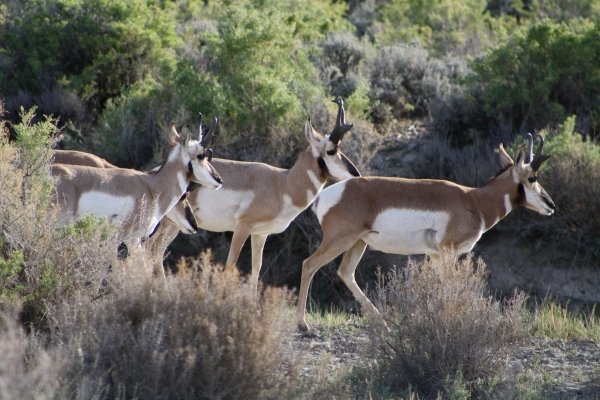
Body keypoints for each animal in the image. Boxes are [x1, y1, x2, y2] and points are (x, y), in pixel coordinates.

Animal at [145, 97, 360, 284]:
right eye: (331, 150)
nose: (356, 173)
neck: (282, 183)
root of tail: (155, 172)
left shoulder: (260, 235)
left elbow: (256, 270)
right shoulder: (242, 228)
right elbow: (230, 267)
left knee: (155, 251)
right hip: (171, 224)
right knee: (152, 249)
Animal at [298, 134, 556, 332]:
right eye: (532, 177)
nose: (551, 205)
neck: (474, 200)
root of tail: (326, 194)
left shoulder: (435, 255)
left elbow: (437, 285)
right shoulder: (449, 252)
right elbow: (450, 285)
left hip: (357, 243)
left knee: (345, 273)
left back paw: (384, 323)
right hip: (340, 241)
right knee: (309, 264)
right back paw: (303, 325)